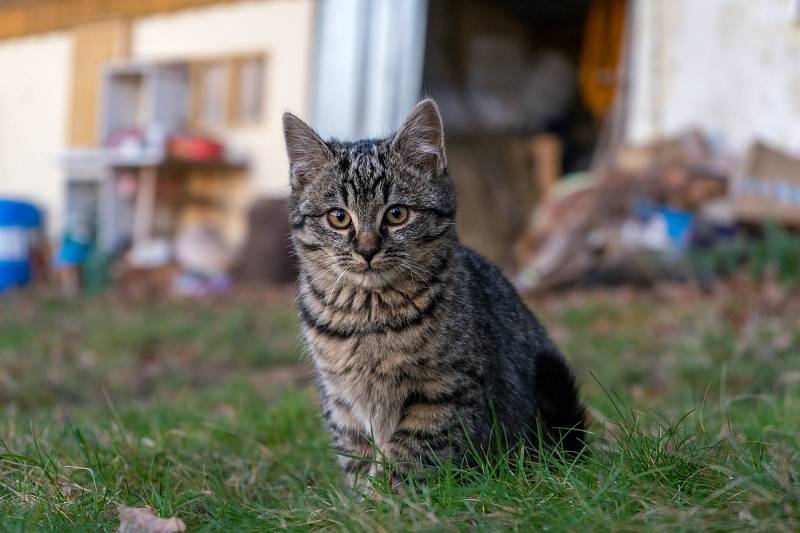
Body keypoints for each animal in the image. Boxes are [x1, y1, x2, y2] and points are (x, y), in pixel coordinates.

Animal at [284, 98, 584, 486]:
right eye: (338, 217)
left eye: (396, 214)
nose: (367, 250)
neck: (369, 315)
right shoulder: (341, 404)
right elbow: (359, 460)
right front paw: (362, 497)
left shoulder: (446, 393)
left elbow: (407, 458)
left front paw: (386, 497)